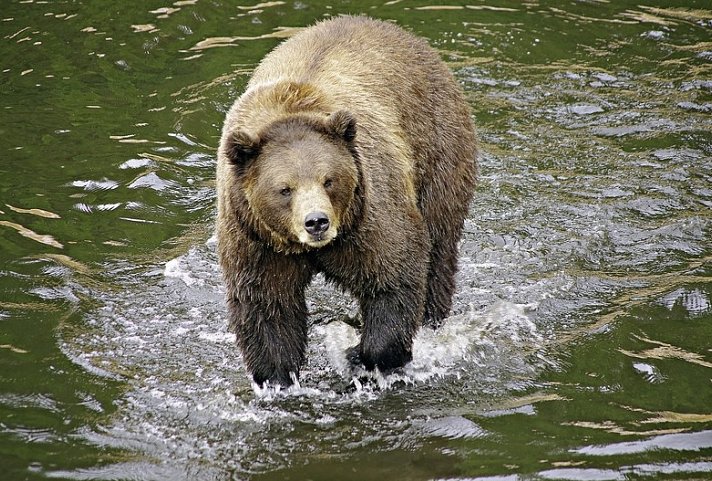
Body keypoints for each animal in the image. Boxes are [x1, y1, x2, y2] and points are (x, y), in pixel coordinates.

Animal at [214, 15, 476, 386]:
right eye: (285, 189)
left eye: (329, 180)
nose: (316, 222)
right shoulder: (254, 238)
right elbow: (266, 305)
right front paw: (278, 375)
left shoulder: (367, 213)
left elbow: (394, 272)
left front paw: (360, 354)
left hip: (437, 149)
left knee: (438, 248)